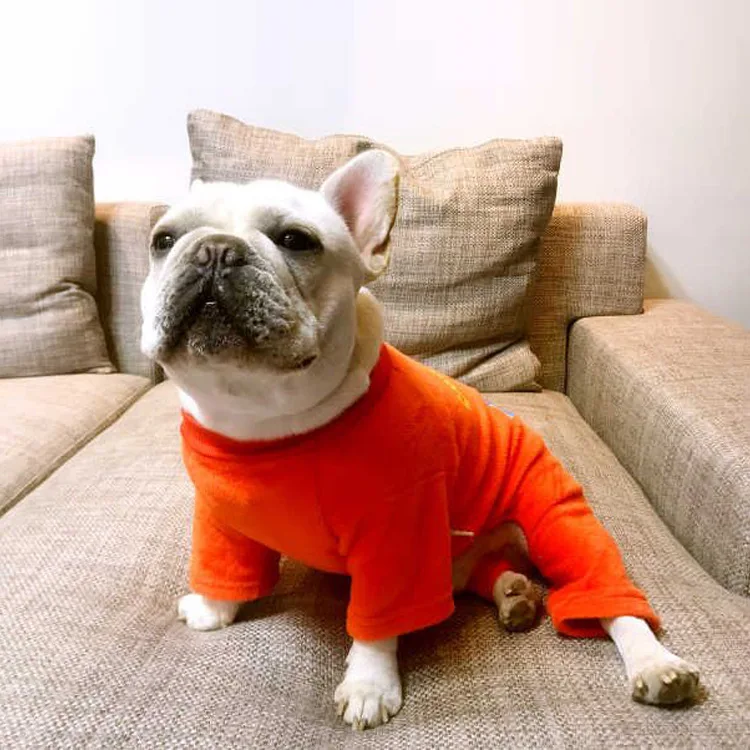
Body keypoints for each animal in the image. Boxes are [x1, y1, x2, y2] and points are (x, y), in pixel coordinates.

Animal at [140, 149, 700, 730]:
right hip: (460, 563)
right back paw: (512, 593)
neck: (261, 416)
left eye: (296, 240)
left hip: (554, 518)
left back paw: (656, 664)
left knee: (605, 594)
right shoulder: (218, 515)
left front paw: (369, 685)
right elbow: (222, 567)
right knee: (477, 574)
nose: (215, 250)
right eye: (162, 239)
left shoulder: (395, 536)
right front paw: (212, 609)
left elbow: (376, 622)